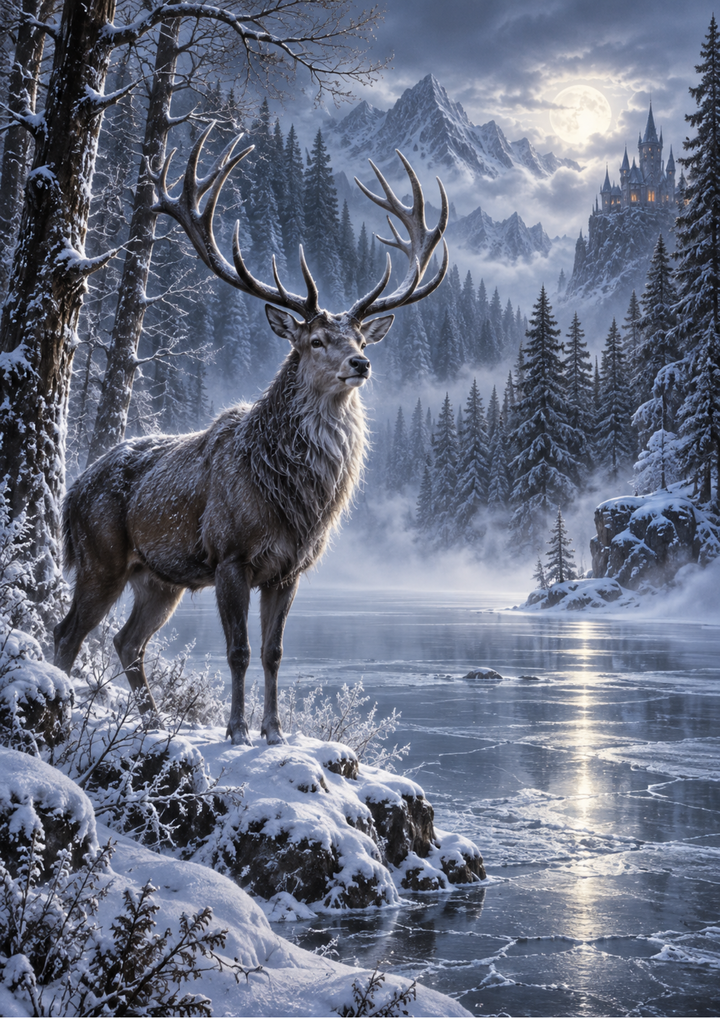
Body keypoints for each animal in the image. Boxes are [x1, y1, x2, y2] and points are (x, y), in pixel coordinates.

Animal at [54, 124, 448, 746]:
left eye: (361, 336)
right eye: (314, 340)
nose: (360, 363)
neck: (292, 499)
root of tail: (74, 488)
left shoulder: (288, 569)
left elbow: (273, 653)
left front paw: (275, 731)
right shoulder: (229, 554)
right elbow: (237, 652)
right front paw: (237, 730)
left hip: (158, 578)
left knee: (126, 640)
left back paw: (152, 721)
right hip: (101, 556)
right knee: (68, 632)